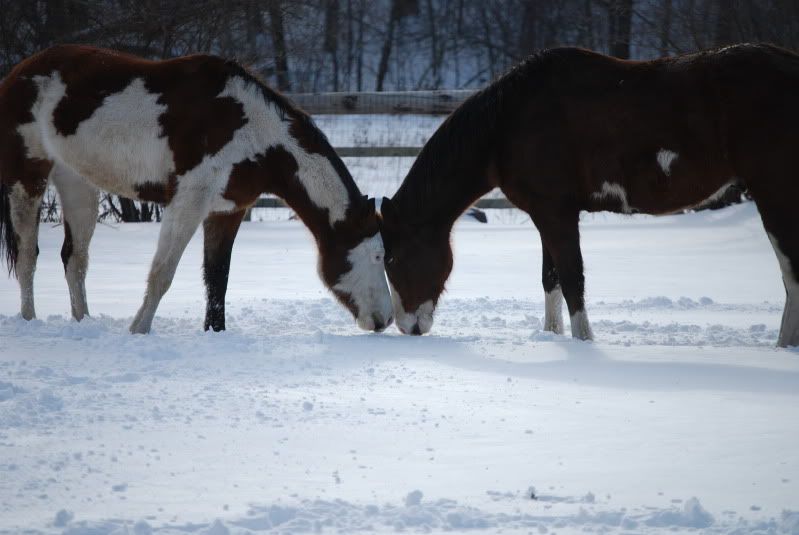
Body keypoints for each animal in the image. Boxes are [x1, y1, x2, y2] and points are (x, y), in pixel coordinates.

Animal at [0, 44, 394, 332]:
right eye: (377, 256)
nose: (386, 320)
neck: (254, 133)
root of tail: (17, 75)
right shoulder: (188, 202)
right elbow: (163, 273)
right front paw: (138, 330)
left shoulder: (227, 210)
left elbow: (217, 279)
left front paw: (215, 333)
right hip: (28, 178)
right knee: (28, 256)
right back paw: (30, 320)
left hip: (77, 184)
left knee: (75, 260)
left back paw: (83, 322)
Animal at [380, 44, 799, 350]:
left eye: (393, 257)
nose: (407, 327)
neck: (508, 122)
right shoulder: (545, 214)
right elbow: (550, 279)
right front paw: (551, 337)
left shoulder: (558, 214)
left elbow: (571, 280)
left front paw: (584, 346)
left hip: (775, 194)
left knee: (791, 274)